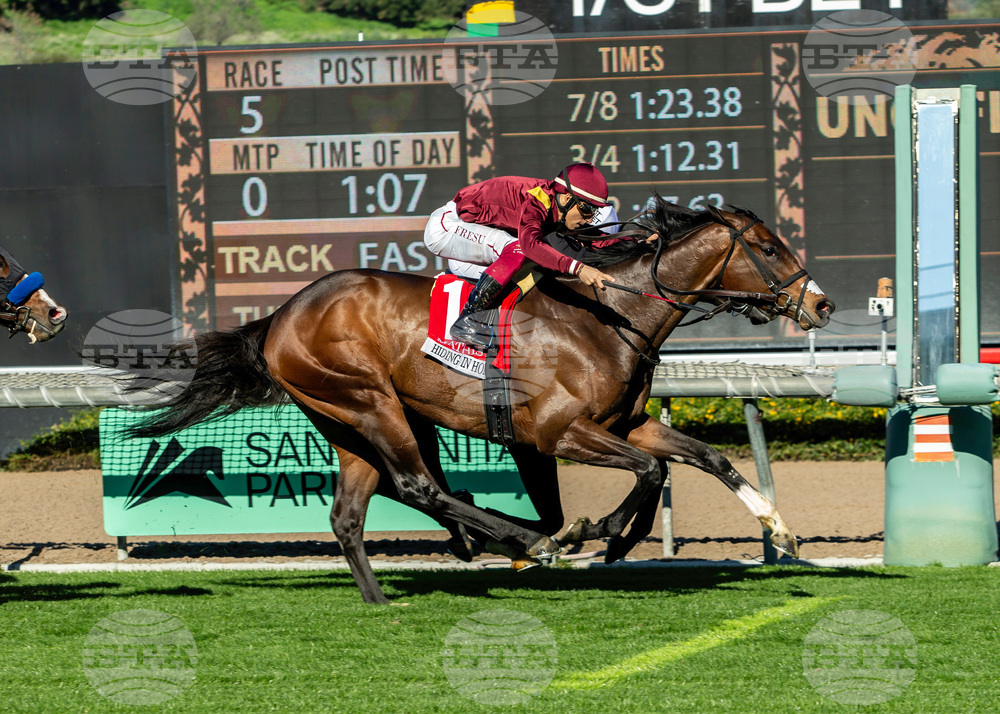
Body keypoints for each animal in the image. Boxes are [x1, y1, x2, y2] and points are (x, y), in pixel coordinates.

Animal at [130, 200, 835, 603]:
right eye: (767, 248)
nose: (822, 303)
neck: (609, 316)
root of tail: (278, 317)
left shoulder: (626, 423)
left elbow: (699, 458)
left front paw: (779, 530)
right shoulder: (556, 432)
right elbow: (651, 470)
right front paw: (597, 533)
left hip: (351, 420)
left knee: (355, 511)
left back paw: (390, 593)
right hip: (370, 401)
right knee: (417, 484)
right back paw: (526, 542)